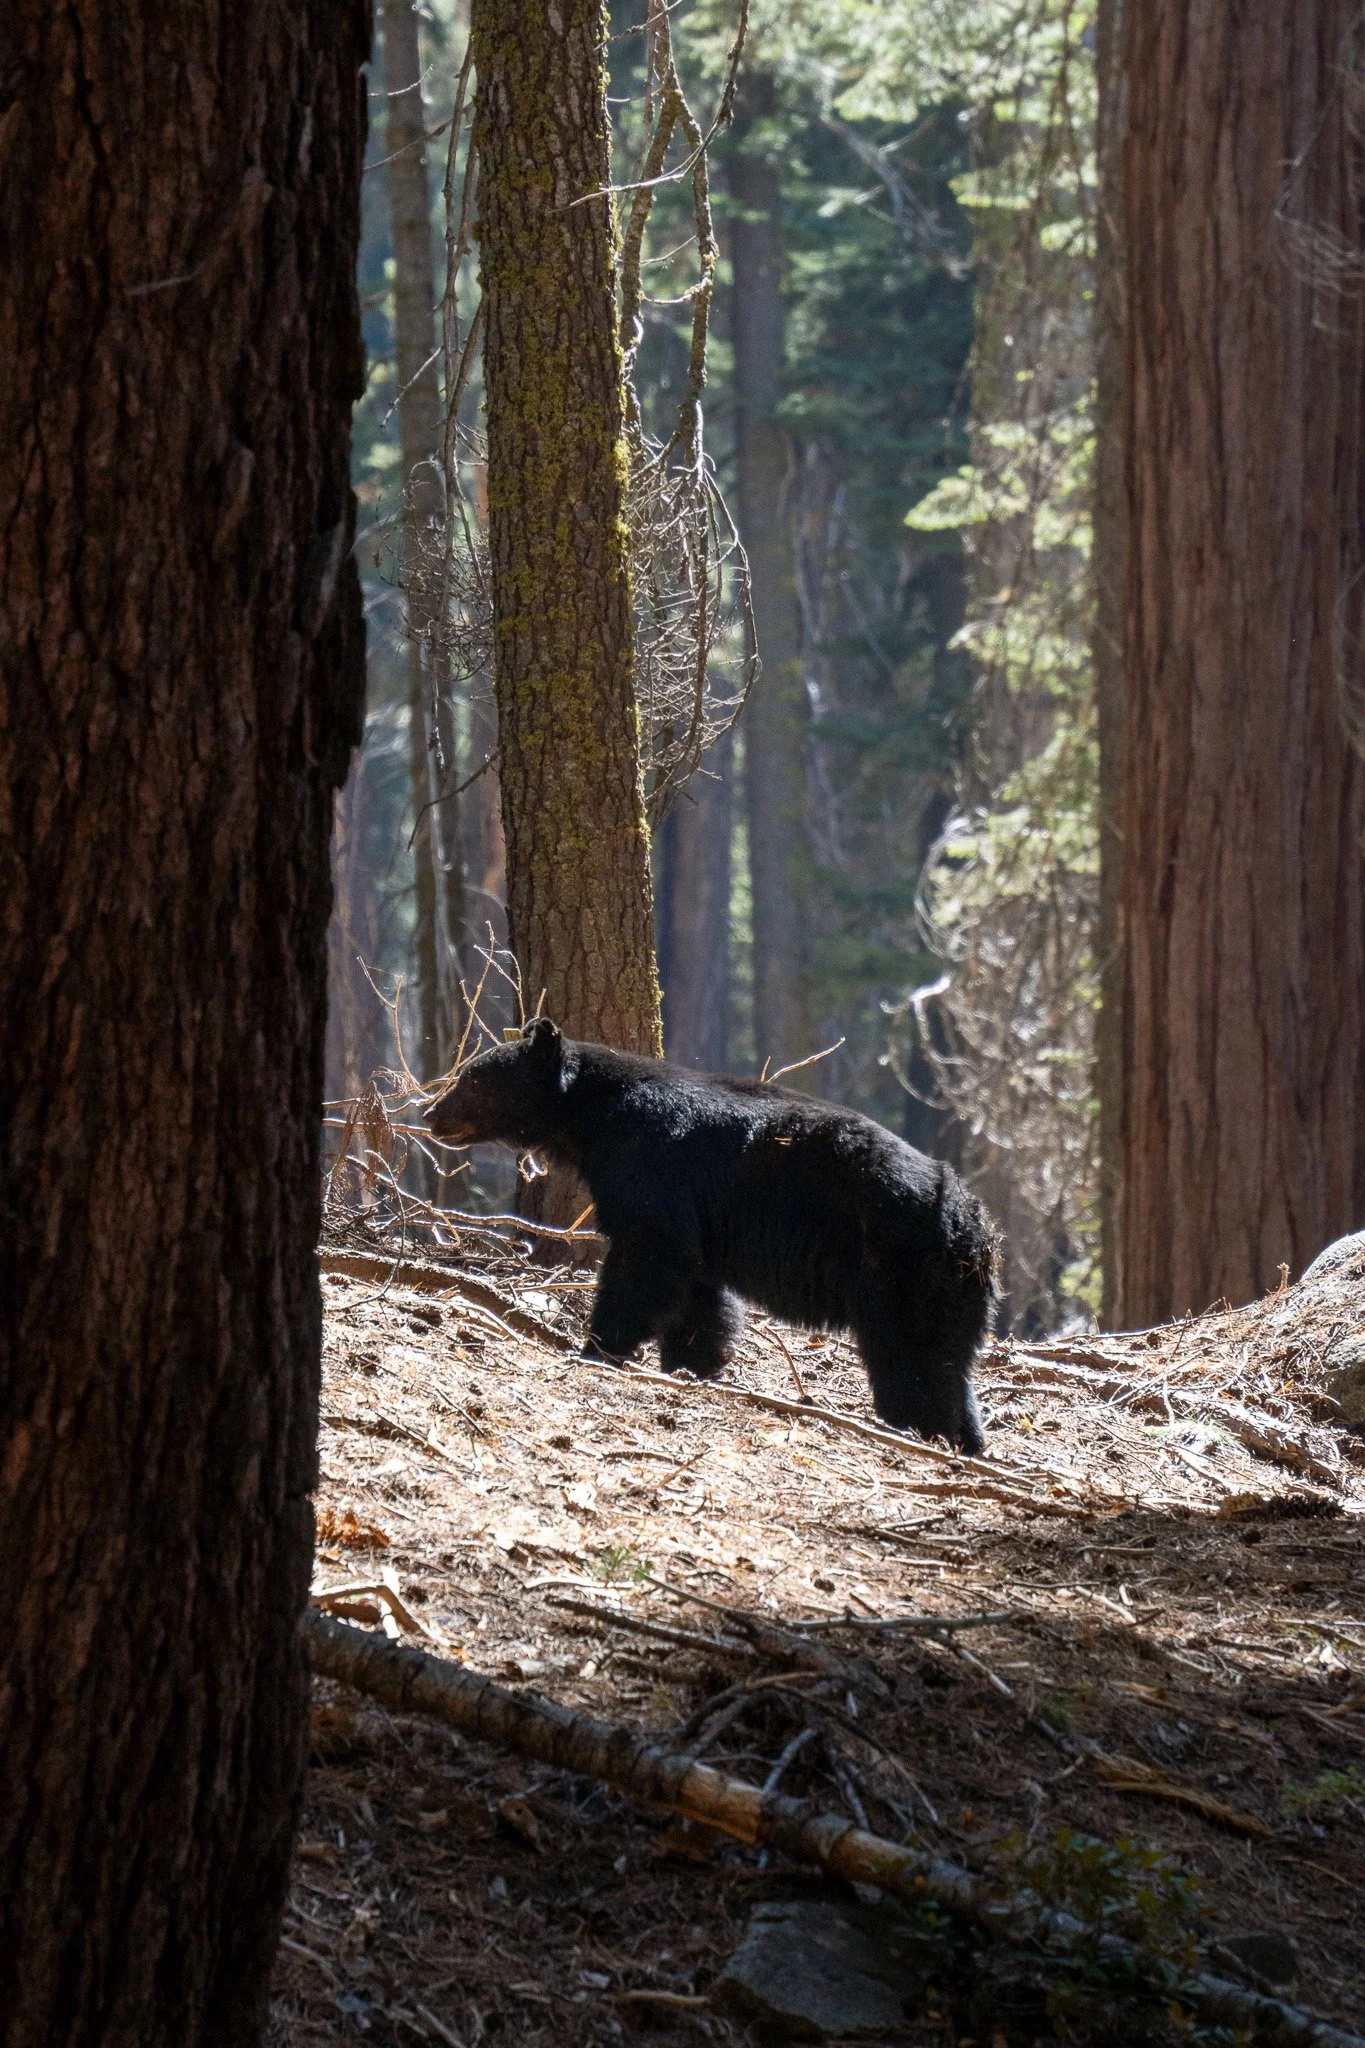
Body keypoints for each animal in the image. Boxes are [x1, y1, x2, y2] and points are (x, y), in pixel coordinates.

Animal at [428, 1020, 996, 1453]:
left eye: (472, 1079)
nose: (432, 1114)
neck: (596, 1117)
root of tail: (969, 1218)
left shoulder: (654, 1167)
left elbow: (647, 1258)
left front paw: (596, 1347)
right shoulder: (698, 1219)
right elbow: (698, 1290)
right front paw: (693, 1363)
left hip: (896, 1268)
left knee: (908, 1357)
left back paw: (915, 1427)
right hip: (949, 1287)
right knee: (949, 1363)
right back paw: (964, 1440)